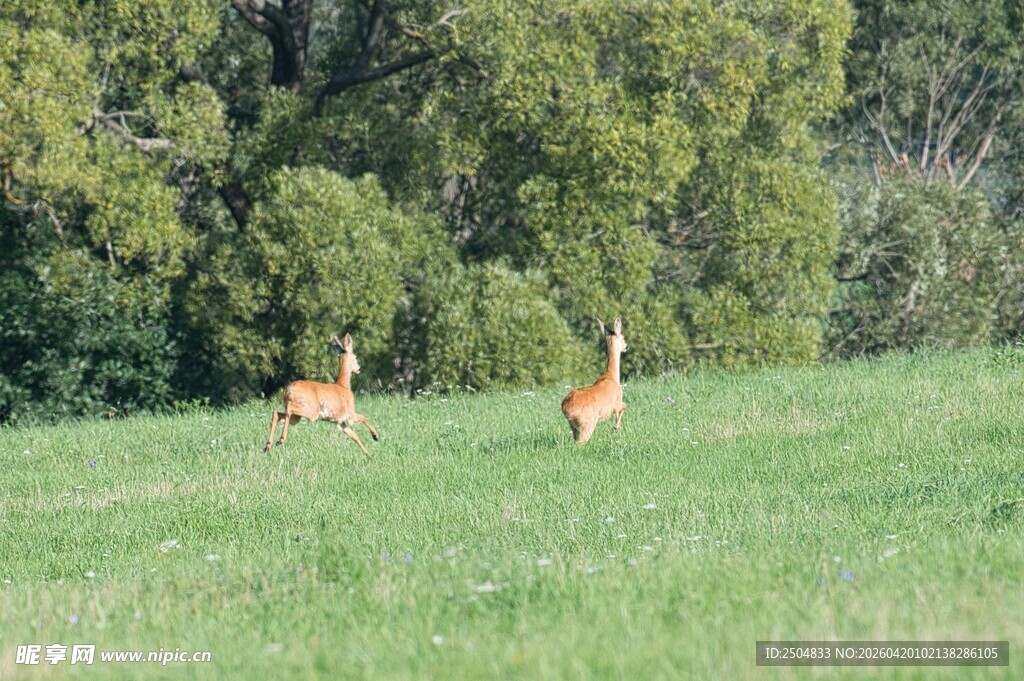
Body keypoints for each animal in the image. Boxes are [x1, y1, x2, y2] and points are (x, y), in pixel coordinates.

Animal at [561, 316, 627, 445]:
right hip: (587, 422)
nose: (626, 346)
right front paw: (615, 428)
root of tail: (565, 408)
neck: (612, 377)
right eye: (623, 337)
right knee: (580, 443)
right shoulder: (616, 402)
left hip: (575, 426)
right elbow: (624, 406)